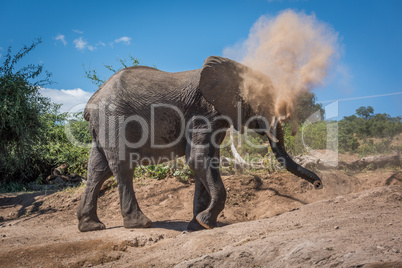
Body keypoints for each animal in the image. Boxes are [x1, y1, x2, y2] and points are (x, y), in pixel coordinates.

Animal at [77, 55, 324, 231]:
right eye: (262, 101)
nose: (318, 185)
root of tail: (91, 102)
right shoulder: (203, 111)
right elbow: (198, 159)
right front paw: (206, 222)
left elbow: (207, 161)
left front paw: (197, 225)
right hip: (113, 119)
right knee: (122, 166)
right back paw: (140, 223)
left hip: (103, 125)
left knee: (98, 169)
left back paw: (91, 226)